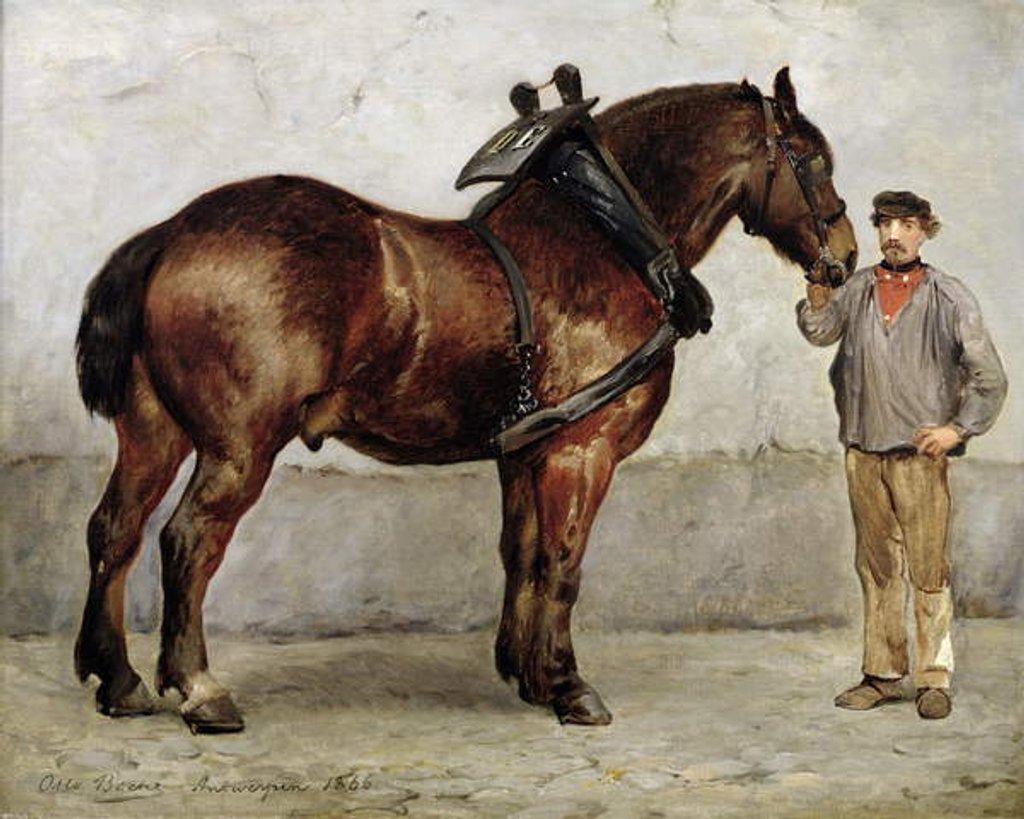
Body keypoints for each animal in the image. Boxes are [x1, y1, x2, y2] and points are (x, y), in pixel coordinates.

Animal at [74, 67, 857, 733]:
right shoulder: (583, 449)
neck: (604, 239)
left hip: (153, 431)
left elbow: (523, 552)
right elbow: (563, 561)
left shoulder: (525, 451)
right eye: (813, 160)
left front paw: (526, 672)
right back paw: (199, 688)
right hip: (239, 447)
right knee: (188, 539)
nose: (845, 258)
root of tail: (174, 232)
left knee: (115, 529)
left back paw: (119, 680)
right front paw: (569, 685)